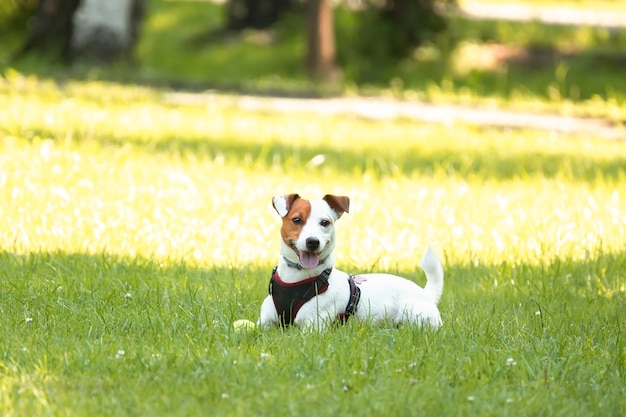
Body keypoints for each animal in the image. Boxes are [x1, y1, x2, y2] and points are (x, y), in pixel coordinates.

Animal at [258, 193, 444, 330]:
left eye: (325, 222)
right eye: (296, 220)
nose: (313, 242)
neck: (297, 278)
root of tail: (426, 294)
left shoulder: (312, 327)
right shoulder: (264, 323)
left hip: (414, 315)